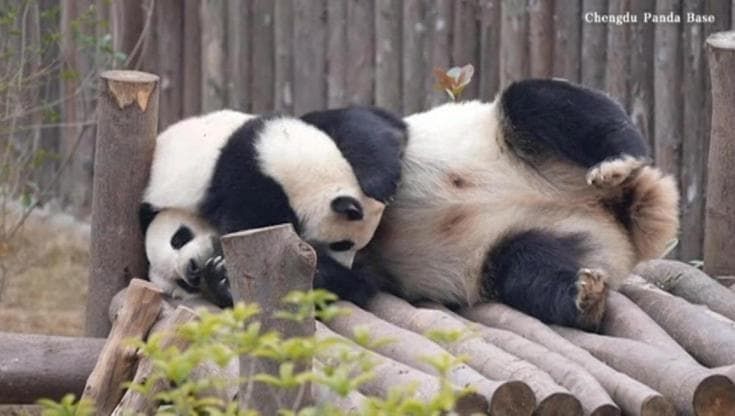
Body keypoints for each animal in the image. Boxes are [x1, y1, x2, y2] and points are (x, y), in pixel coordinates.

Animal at [140, 107, 407, 308]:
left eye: (180, 238)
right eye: (342, 244)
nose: (192, 271)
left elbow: (365, 122)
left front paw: (380, 182)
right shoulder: (246, 188)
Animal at [365, 79, 680, 331]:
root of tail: (612, 209)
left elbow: (376, 130)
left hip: (512, 139)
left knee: (544, 105)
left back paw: (616, 163)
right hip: (521, 242)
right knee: (526, 267)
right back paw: (584, 297)